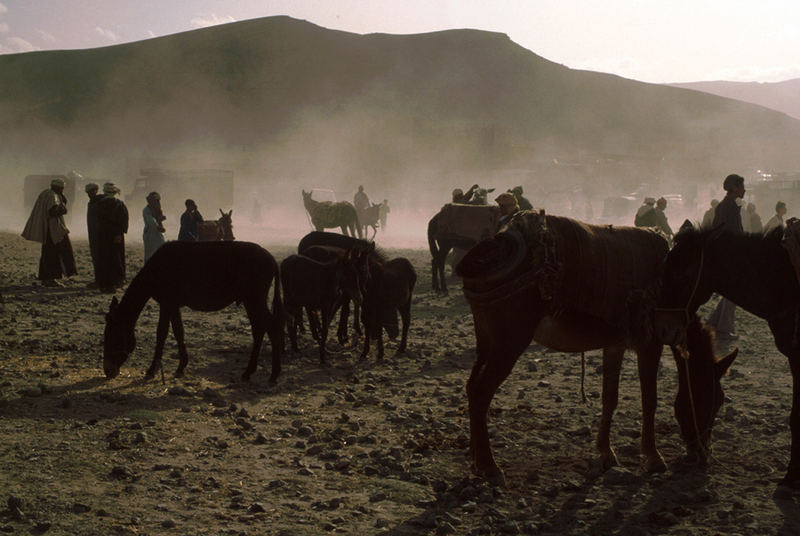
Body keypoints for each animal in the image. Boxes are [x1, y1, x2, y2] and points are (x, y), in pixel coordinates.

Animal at [104, 241, 282, 384]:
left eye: (112, 337)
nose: (107, 371)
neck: (156, 270)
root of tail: (272, 259)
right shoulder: (173, 304)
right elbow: (178, 331)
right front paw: (181, 367)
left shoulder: (167, 303)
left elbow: (161, 333)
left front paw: (151, 370)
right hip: (249, 300)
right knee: (259, 329)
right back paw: (248, 372)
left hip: (254, 298)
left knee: (272, 327)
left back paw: (274, 375)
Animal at [456, 209, 688, 486]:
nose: (674, 329)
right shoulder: (650, 342)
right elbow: (649, 399)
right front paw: (653, 457)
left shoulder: (615, 344)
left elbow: (610, 397)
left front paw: (606, 452)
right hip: (509, 343)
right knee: (481, 391)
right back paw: (489, 466)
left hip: (486, 339)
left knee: (471, 386)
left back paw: (475, 456)